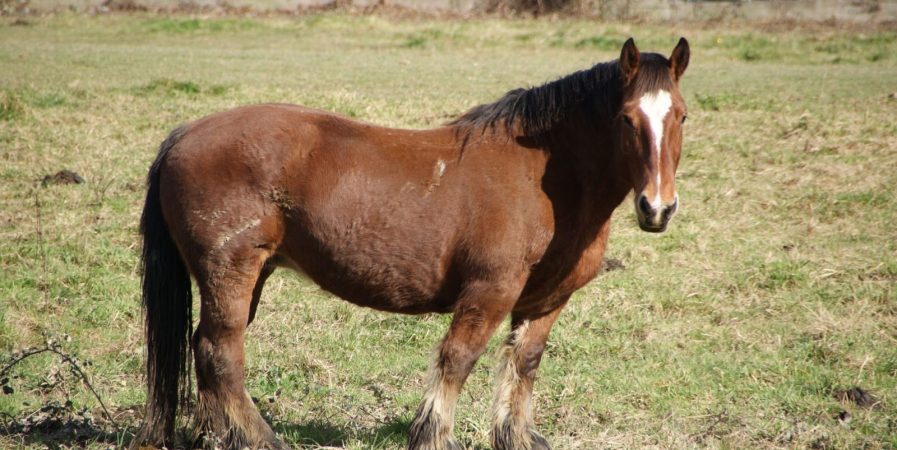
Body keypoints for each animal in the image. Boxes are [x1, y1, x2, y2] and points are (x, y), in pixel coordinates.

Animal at [133, 37, 690, 450]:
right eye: (626, 118)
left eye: (681, 116)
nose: (656, 208)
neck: (544, 180)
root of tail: (185, 134)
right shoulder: (489, 292)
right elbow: (458, 360)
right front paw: (432, 437)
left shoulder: (545, 301)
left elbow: (523, 364)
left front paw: (515, 436)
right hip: (230, 271)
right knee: (220, 353)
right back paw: (261, 438)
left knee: (206, 352)